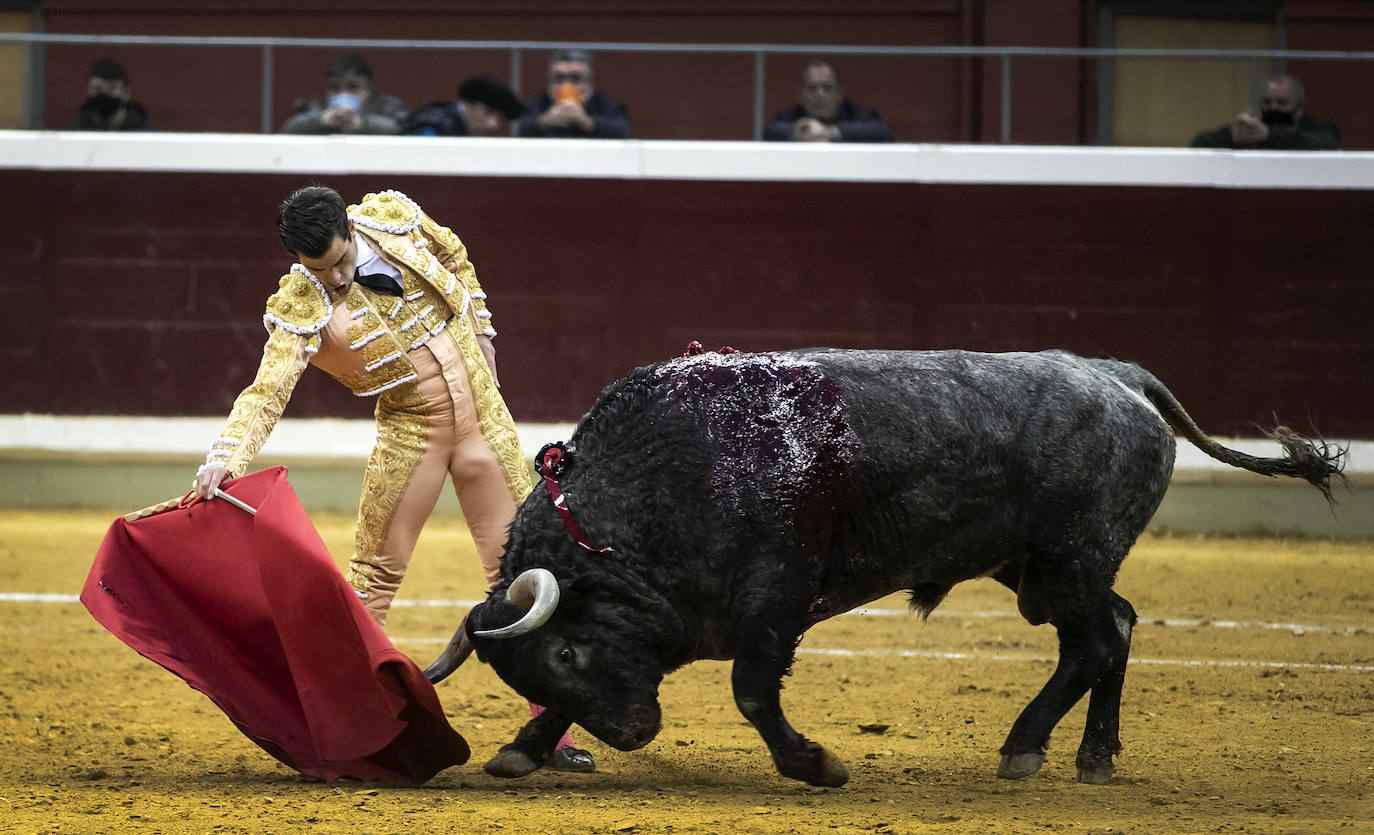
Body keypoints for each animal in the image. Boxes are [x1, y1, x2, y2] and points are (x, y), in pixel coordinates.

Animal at [428, 347, 1341, 791]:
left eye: (569, 648)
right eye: (545, 663)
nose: (632, 734)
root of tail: (1118, 376)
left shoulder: (776, 601)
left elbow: (753, 691)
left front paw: (816, 765)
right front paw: (521, 749)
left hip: (1070, 560)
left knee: (1092, 642)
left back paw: (1025, 749)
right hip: (1039, 567)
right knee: (1115, 629)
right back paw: (1093, 755)